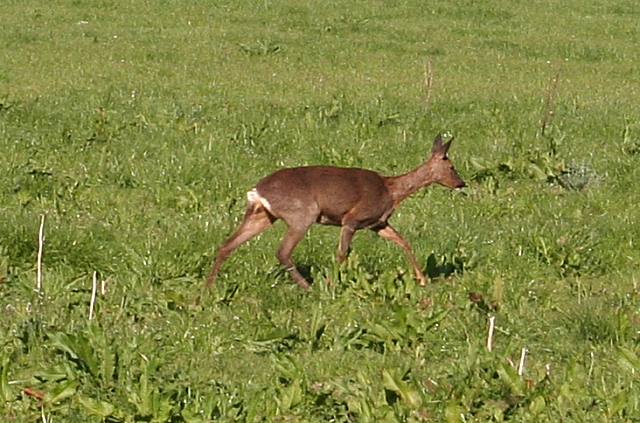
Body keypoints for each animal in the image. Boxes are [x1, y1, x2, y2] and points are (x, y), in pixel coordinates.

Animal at [205, 134, 465, 289]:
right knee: (282, 251)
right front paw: (335, 283)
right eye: (452, 167)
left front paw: (422, 279)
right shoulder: (352, 219)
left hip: (261, 215)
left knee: (227, 244)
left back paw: (208, 286)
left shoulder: (377, 224)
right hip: (302, 214)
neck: (391, 191)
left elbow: (403, 241)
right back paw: (308, 287)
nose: (462, 183)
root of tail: (256, 191)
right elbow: (342, 253)